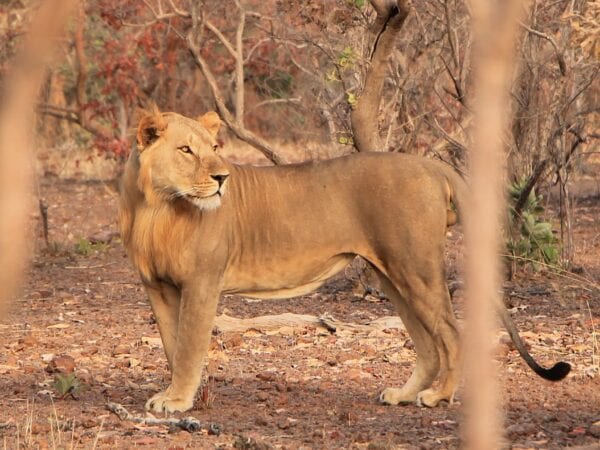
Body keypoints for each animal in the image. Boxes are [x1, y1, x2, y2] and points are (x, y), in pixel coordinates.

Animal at [118, 107, 572, 414]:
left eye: (214, 148)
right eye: (185, 150)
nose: (222, 178)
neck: (157, 208)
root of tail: (430, 164)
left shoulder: (202, 283)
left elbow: (189, 347)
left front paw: (176, 401)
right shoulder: (157, 288)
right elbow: (172, 345)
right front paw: (176, 394)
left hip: (415, 267)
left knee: (451, 333)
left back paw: (438, 396)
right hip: (392, 275)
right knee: (427, 343)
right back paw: (403, 394)